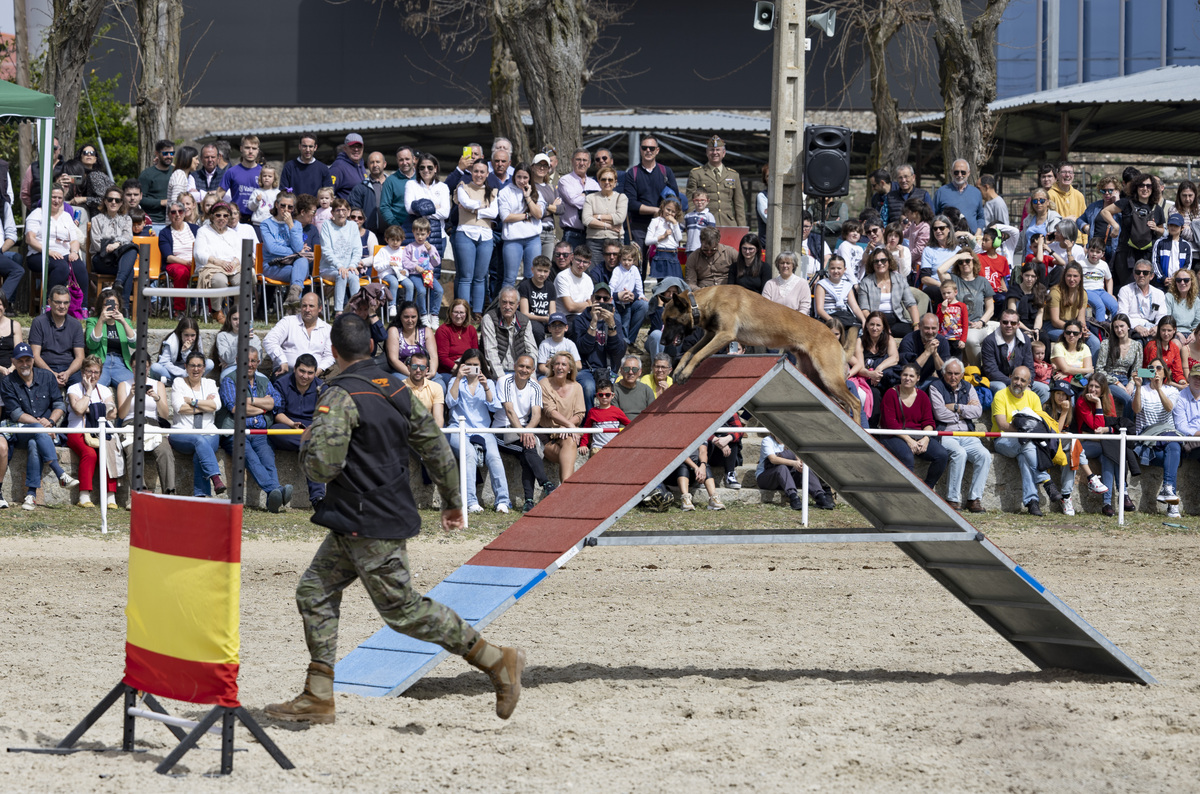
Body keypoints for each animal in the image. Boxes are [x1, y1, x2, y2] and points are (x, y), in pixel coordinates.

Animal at [657, 287, 864, 422]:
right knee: (842, 404)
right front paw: (679, 370)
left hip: (829, 378)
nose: (662, 343)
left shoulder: (724, 335)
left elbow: (697, 355)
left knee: (854, 403)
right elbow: (689, 352)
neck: (703, 302)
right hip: (817, 378)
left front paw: (685, 374)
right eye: (663, 320)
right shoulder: (710, 335)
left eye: (671, 320)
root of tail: (834, 338)